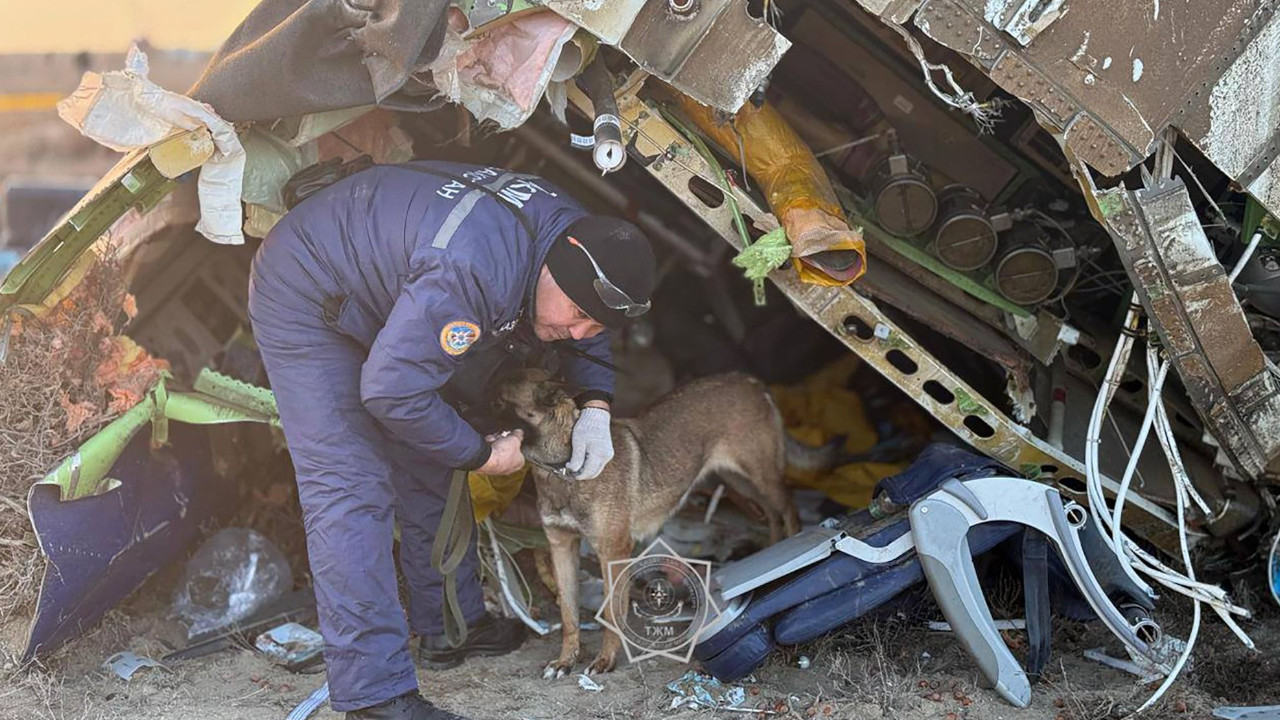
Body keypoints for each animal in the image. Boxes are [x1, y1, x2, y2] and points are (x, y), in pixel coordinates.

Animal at [491, 366, 798, 676]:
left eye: (499, 402)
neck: (562, 469)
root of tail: (749, 380)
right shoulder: (561, 546)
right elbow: (568, 613)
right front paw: (566, 660)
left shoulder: (613, 552)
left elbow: (612, 612)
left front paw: (606, 659)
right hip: (739, 480)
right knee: (772, 514)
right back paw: (773, 548)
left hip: (761, 476)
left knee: (788, 509)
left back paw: (794, 547)